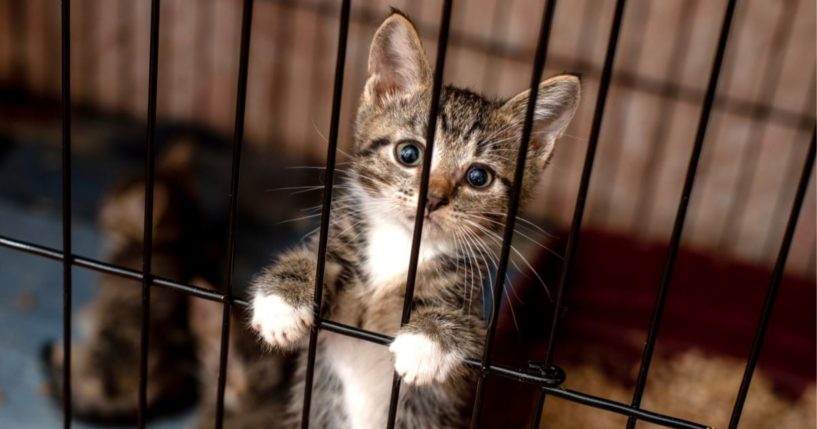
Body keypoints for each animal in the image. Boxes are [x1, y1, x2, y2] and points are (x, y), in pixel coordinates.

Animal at [252, 10, 576, 428]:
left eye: (479, 177)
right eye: (409, 153)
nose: (434, 198)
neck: (404, 243)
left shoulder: (473, 317)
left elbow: (464, 327)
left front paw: (426, 342)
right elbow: (317, 260)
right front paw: (283, 301)